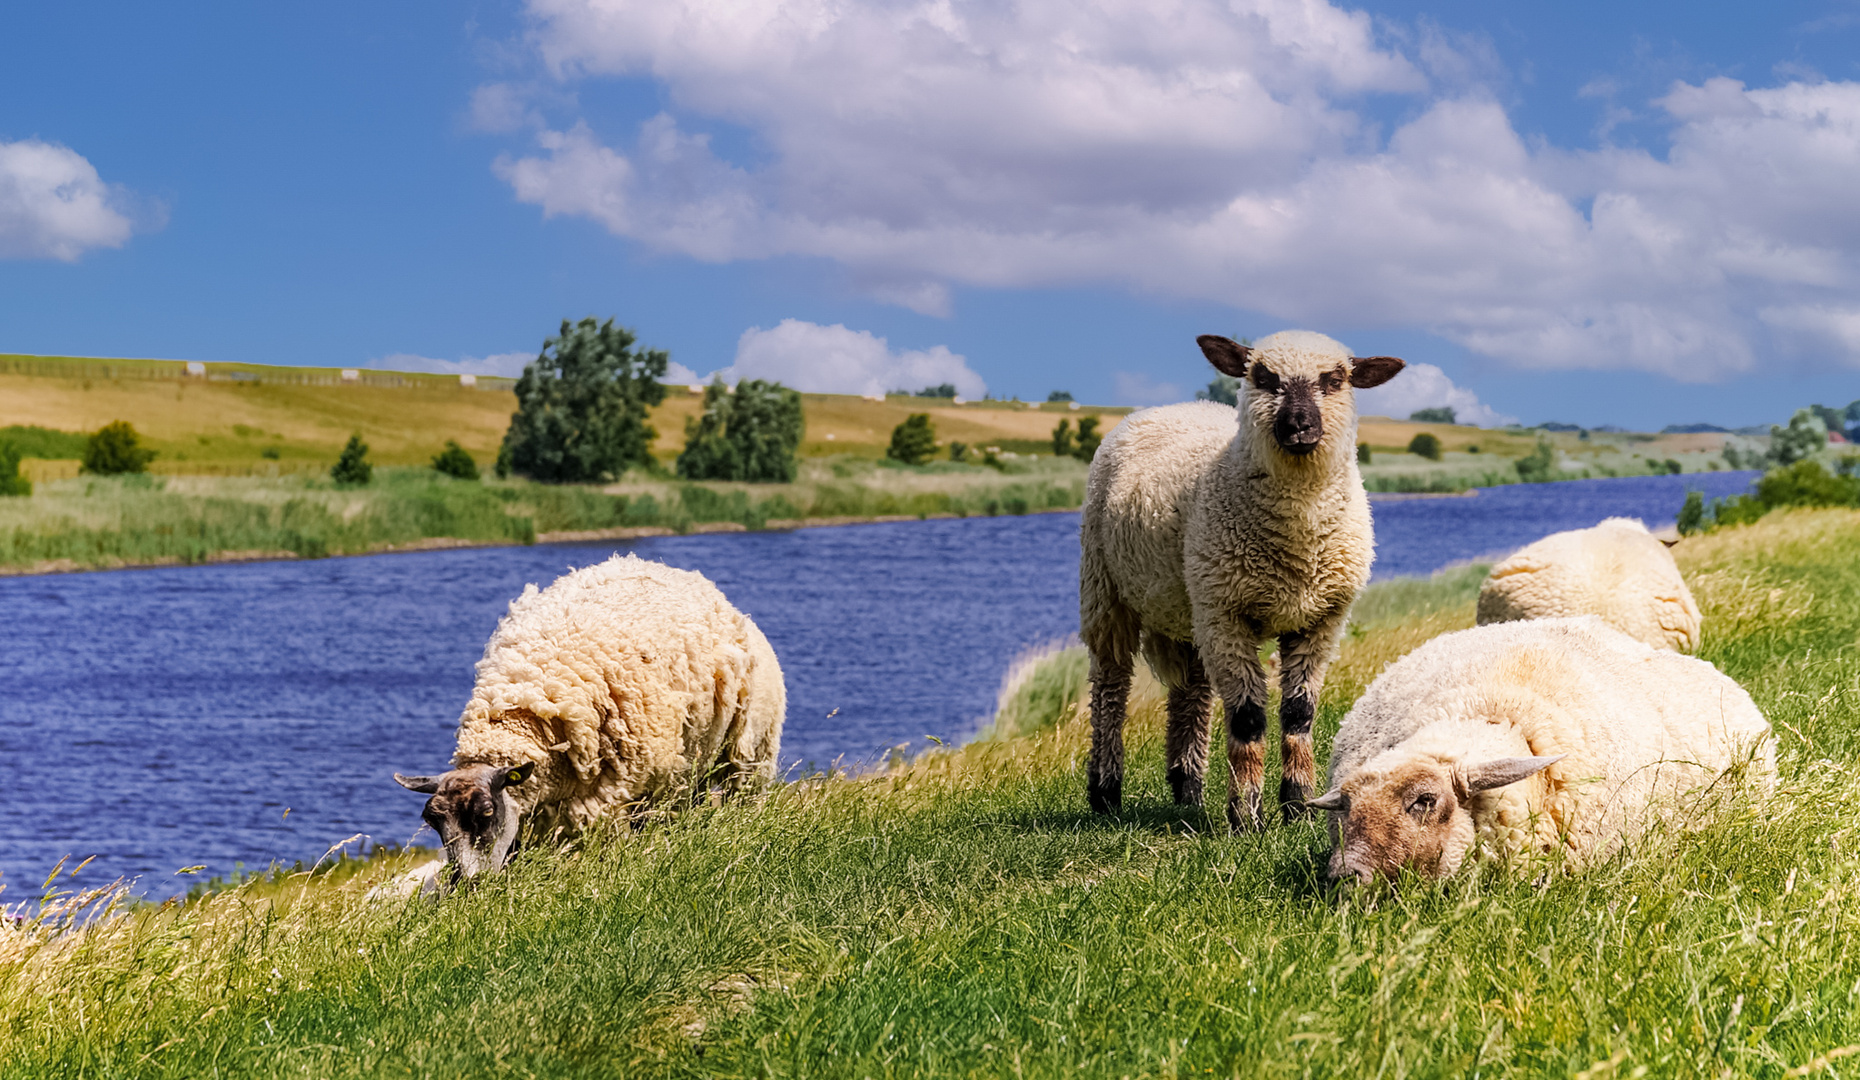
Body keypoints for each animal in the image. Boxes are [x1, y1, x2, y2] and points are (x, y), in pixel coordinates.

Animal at [1086, 327, 1398, 825]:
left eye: (1335, 380)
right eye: (1263, 376)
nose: (1298, 426)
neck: (1298, 539)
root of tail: (1174, 406)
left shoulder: (1321, 621)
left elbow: (1299, 713)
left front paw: (1297, 805)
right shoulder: (1228, 616)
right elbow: (1248, 717)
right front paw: (1246, 816)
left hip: (1189, 604)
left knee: (1191, 690)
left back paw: (1188, 787)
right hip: (1106, 589)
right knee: (1110, 688)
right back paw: (1105, 791)